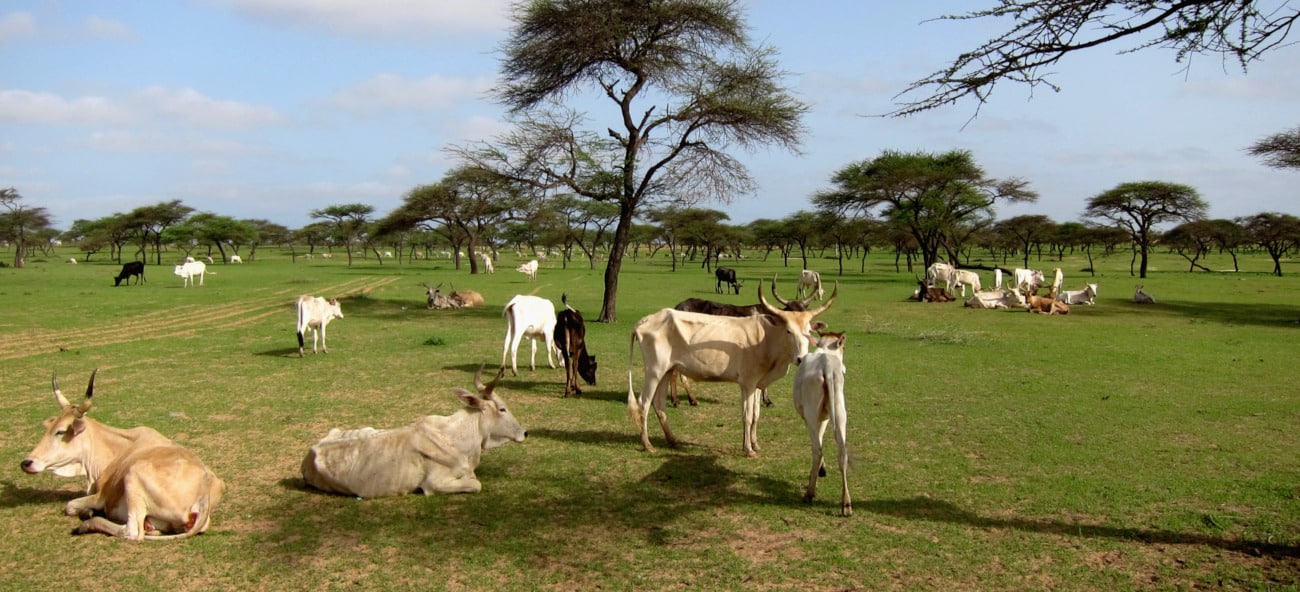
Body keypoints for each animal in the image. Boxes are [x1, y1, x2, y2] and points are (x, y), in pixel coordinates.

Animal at [20, 369, 223, 541]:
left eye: (60, 431)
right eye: (49, 429)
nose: (26, 463)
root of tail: (205, 486)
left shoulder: (100, 496)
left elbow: (69, 506)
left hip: (133, 475)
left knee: (132, 531)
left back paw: (88, 524)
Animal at [299, 366, 527, 497]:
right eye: (502, 409)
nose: (524, 433)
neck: (456, 437)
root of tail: (310, 453)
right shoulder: (434, 484)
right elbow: (475, 484)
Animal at [631, 279, 842, 457]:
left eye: (809, 331)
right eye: (789, 330)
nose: (800, 358)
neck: (766, 338)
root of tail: (646, 321)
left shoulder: (757, 384)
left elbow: (756, 414)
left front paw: (754, 443)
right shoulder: (747, 384)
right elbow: (747, 416)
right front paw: (748, 449)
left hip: (666, 371)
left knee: (659, 404)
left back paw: (672, 440)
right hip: (654, 371)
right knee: (643, 402)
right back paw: (647, 444)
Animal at [790, 331, 852, 517]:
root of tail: (828, 368)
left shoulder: (814, 417)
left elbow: (818, 439)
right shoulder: (825, 416)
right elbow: (822, 436)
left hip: (811, 412)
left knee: (817, 450)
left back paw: (809, 493)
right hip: (839, 410)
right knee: (842, 451)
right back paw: (846, 504)